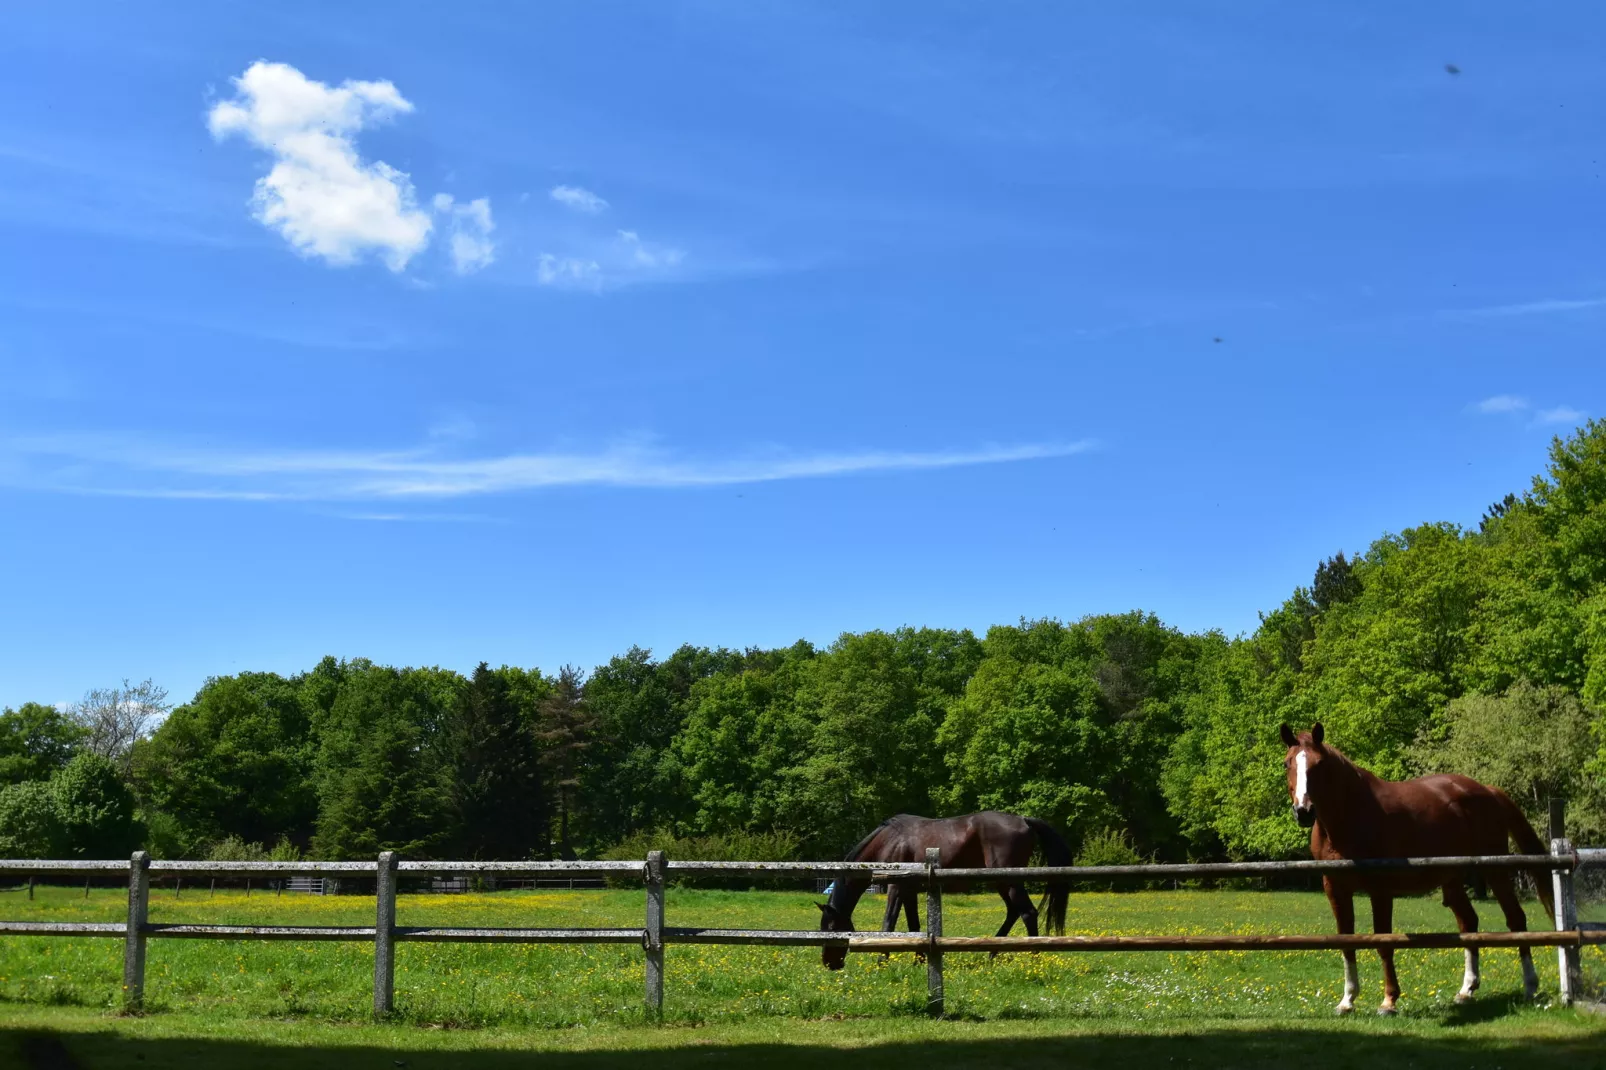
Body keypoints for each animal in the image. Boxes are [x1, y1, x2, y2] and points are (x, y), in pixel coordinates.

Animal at [815, 809, 1066, 963]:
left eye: (831, 928)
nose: (830, 963)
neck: (889, 841)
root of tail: (1024, 820)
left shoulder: (896, 887)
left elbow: (889, 923)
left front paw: (881, 960)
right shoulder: (909, 890)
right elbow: (914, 925)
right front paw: (919, 960)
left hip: (1009, 881)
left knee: (1028, 913)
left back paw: (1034, 957)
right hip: (1002, 882)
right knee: (1014, 912)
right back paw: (992, 953)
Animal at [1284, 716, 1548, 1008]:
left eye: (1319, 764)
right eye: (1287, 763)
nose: (1303, 811)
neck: (1349, 818)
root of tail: (1489, 792)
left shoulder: (1380, 889)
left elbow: (1383, 941)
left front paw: (1389, 1000)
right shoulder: (1335, 888)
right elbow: (1346, 941)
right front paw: (1348, 999)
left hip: (1495, 870)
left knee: (1516, 920)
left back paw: (1530, 986)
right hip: (1452, 879)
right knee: (1469, 922)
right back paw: (1467, 989)